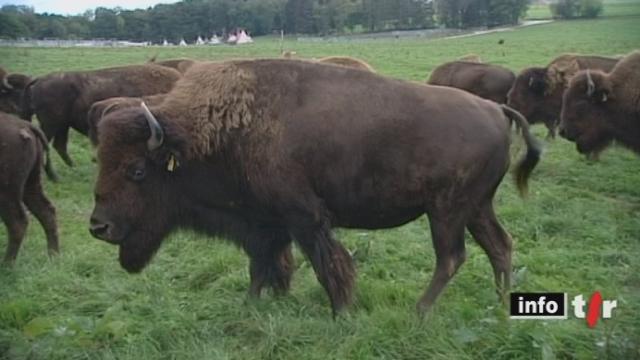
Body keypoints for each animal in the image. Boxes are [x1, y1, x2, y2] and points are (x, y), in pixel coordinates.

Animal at [0, 111, 58, 262]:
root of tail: (26, 125)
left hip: (7, 192)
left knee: (18, 223)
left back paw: (7, 264)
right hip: (31, 183)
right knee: (46, 211)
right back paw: (53, 256)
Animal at [89, 58, 540, 316]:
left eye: (136, 171)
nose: (98, 227)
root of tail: (495, 108)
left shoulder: (304, 218)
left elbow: (327, 266)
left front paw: (341, 313)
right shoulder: (266, 223)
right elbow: (264, 265)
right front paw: (254, 305)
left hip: (446, 210)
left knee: (451, 257)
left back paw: (420, 311)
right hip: (476, 207)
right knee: (499, 246)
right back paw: (499, 304)